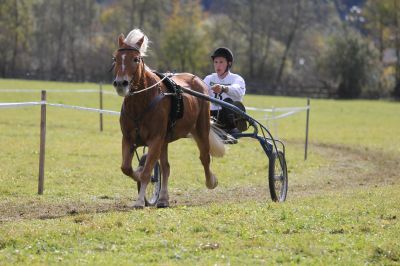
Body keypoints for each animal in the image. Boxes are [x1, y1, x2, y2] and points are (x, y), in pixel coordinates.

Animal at [112, 28, 225, 208]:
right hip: (165, 140)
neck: (142, 101)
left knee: (205, 158)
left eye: (135, 59)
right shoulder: (129, 139)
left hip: (201, 129)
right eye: (115, 58)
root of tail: (198, 81)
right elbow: (127, 168)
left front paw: (139, 200)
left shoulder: (155, 139)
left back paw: (211, 181)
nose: (121, 83)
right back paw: (163, 198)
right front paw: (139, 175)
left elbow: (147, 171)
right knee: (166, 167)